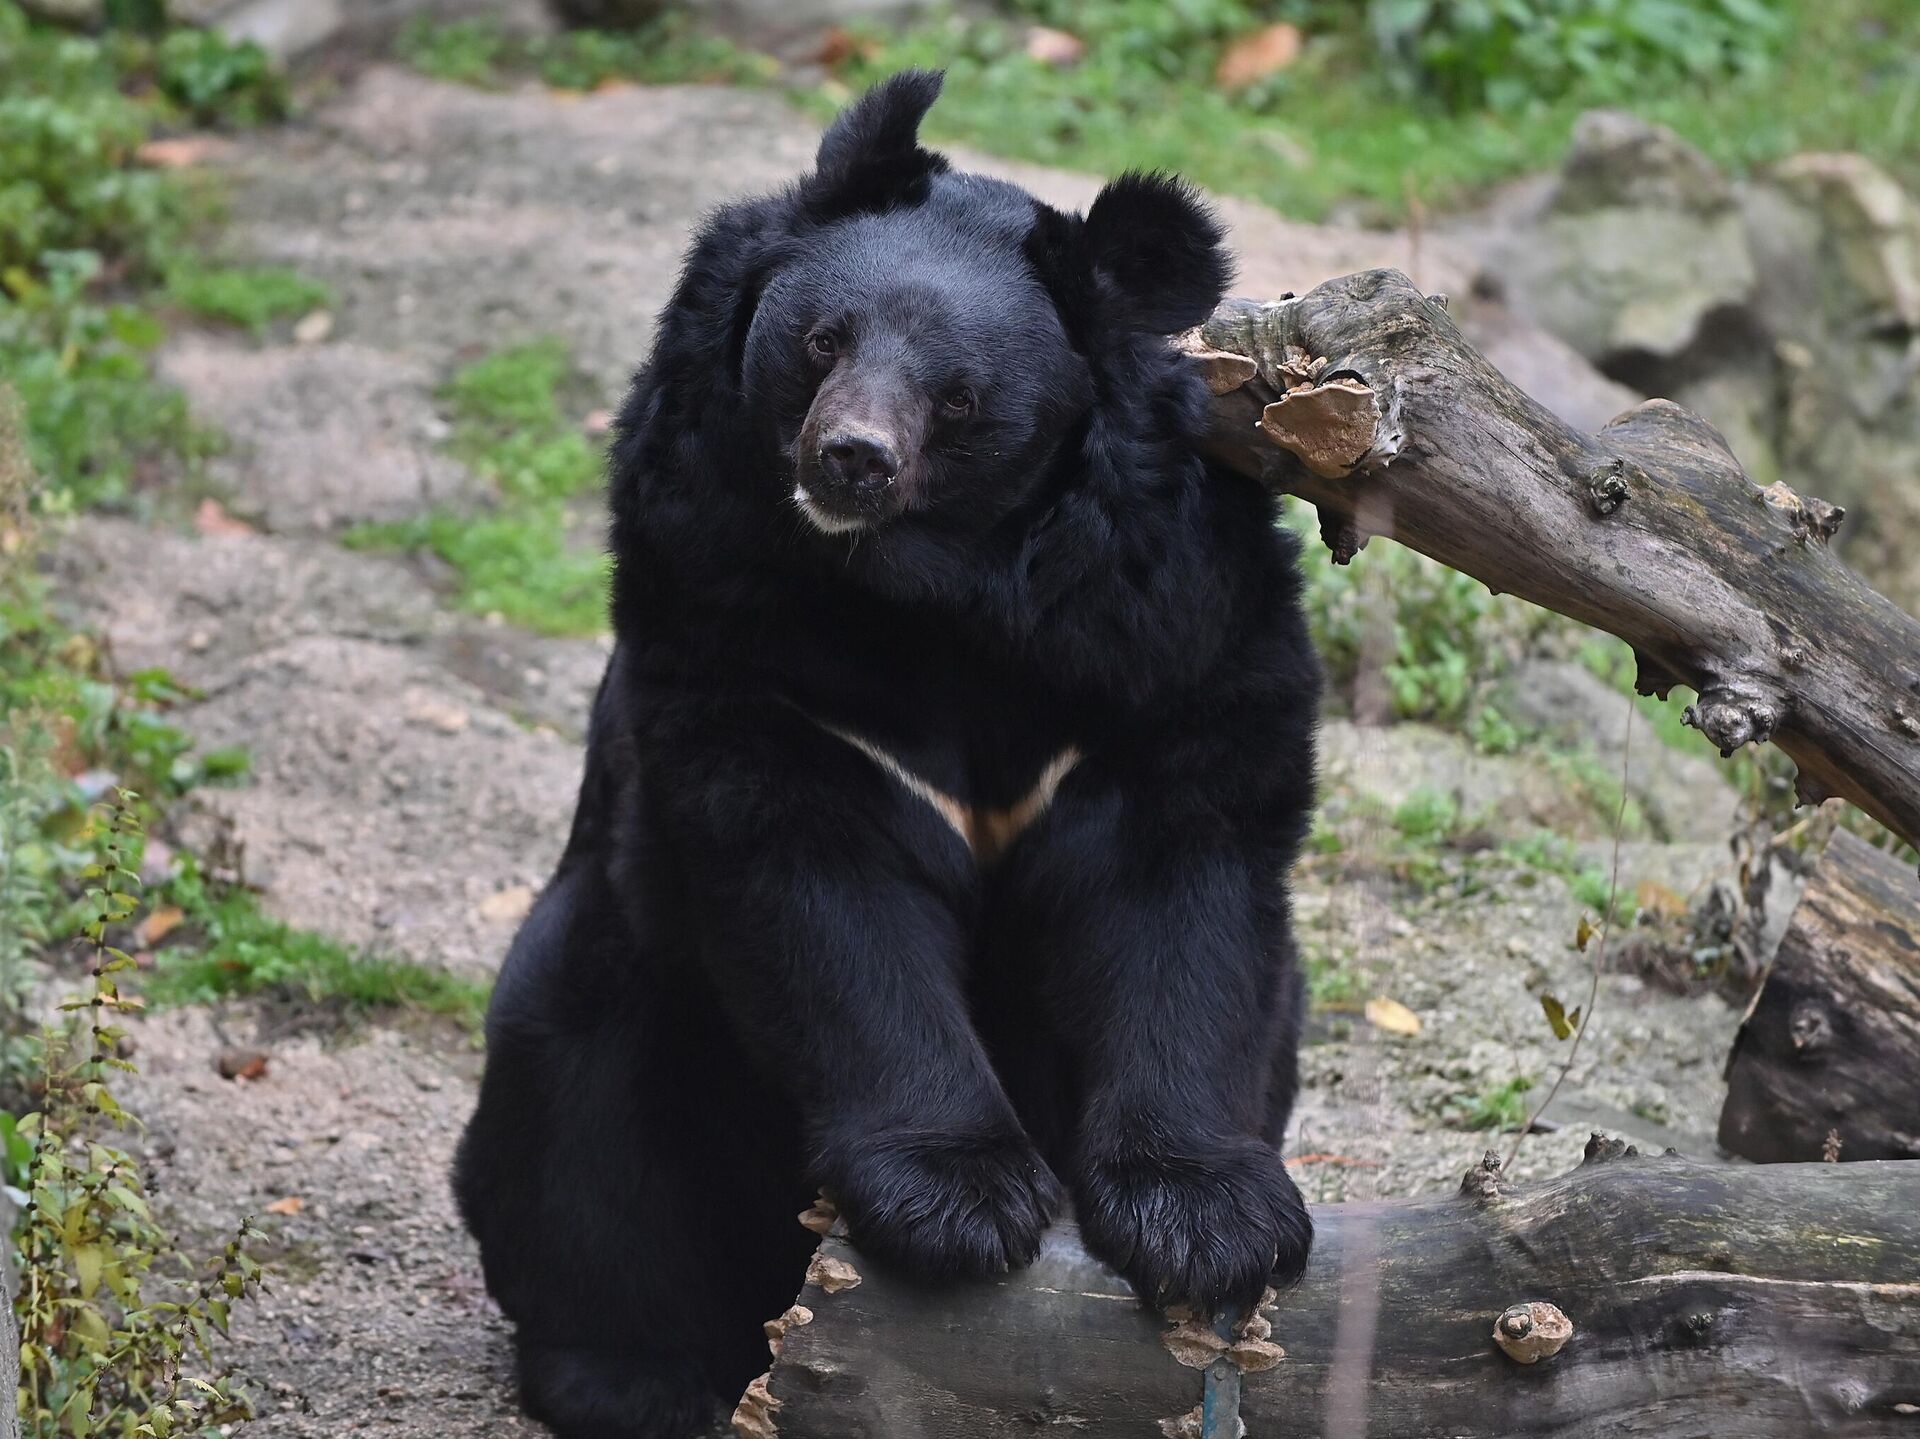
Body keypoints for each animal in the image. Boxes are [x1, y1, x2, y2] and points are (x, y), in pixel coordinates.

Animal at [452, 68, 1320, 1439]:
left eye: (958, 396)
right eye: (822, 339)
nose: (848, 458)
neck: (938, 589)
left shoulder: (1169, 626)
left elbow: (1177, 890)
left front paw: (1210, 1228)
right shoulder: (731, 605)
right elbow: (824, 887)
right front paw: (964, 1205)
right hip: (601, 991)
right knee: (569, 1131)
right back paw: (631, 1375)